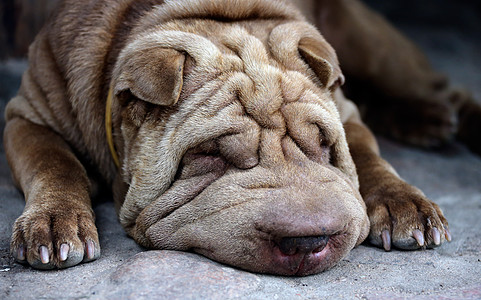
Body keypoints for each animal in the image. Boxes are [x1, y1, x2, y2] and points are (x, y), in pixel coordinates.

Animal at [6, 0, 476, 276]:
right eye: (210, 154)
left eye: (325, 145)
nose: (310, 241)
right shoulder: (27, 115)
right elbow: (53, 161)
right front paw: (55, 224)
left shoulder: (345, 110)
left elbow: (366, 153)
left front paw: (404, 205)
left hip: (373, 46)